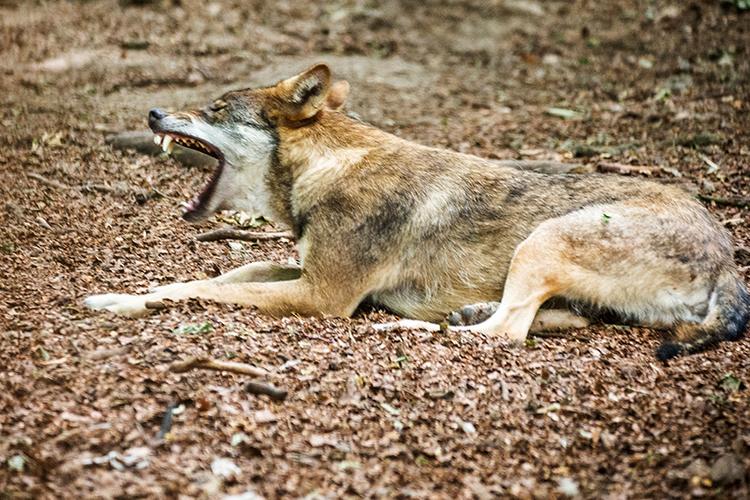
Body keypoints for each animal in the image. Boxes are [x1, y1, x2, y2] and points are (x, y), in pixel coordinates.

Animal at [83, 63, 750, 360]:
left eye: (215, 109)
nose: (153, 113)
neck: (330, 166)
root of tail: (727, 256)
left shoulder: (322, 296)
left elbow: (212, 292)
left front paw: (126, 304)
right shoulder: (305, 271)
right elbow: (220, 274)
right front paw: (125, 294)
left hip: (543, 238)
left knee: (503, 335)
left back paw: (404, 326)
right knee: (542, 322)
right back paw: (461, 312)